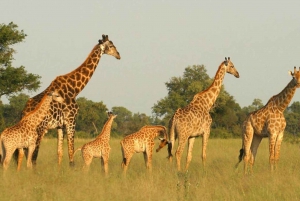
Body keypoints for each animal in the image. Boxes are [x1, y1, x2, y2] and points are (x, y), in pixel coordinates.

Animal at [17, 34, 119, 166]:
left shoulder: (60, 126)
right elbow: (71, 154)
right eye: (111, 45)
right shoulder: (71, 120)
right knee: (33, 156)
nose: (118, 55)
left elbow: (59, 153)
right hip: (39, 130)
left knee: (21, 155)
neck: (75, 89)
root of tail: (23, 112)